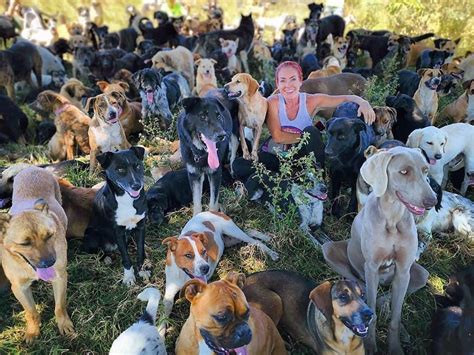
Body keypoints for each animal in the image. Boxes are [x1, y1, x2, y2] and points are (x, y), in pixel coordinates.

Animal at [0, 168, 74, 344]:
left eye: (50, 235)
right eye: (24, 243)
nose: (50, 263)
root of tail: (30, 167)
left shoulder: (60, 278)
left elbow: (60, 306)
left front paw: (63, 324)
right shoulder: (19, 288)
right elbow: (31, 312)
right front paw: (33, 332)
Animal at [82, 146, 147, 288]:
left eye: (138, 166)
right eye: (120, 169)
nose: (137, 186)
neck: (127, 199)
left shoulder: (140, 227)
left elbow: (140, 252)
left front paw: (142, 270)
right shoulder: (118, 232)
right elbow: (126, 258)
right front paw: (129, 277)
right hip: (91, 234)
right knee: (95, 251)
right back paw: (106, 258)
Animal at [244, 272, 374, 354]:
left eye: (362, 295)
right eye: (343, 296)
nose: (369, 314)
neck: (344, 336)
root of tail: (246, 280)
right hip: (275, 300)